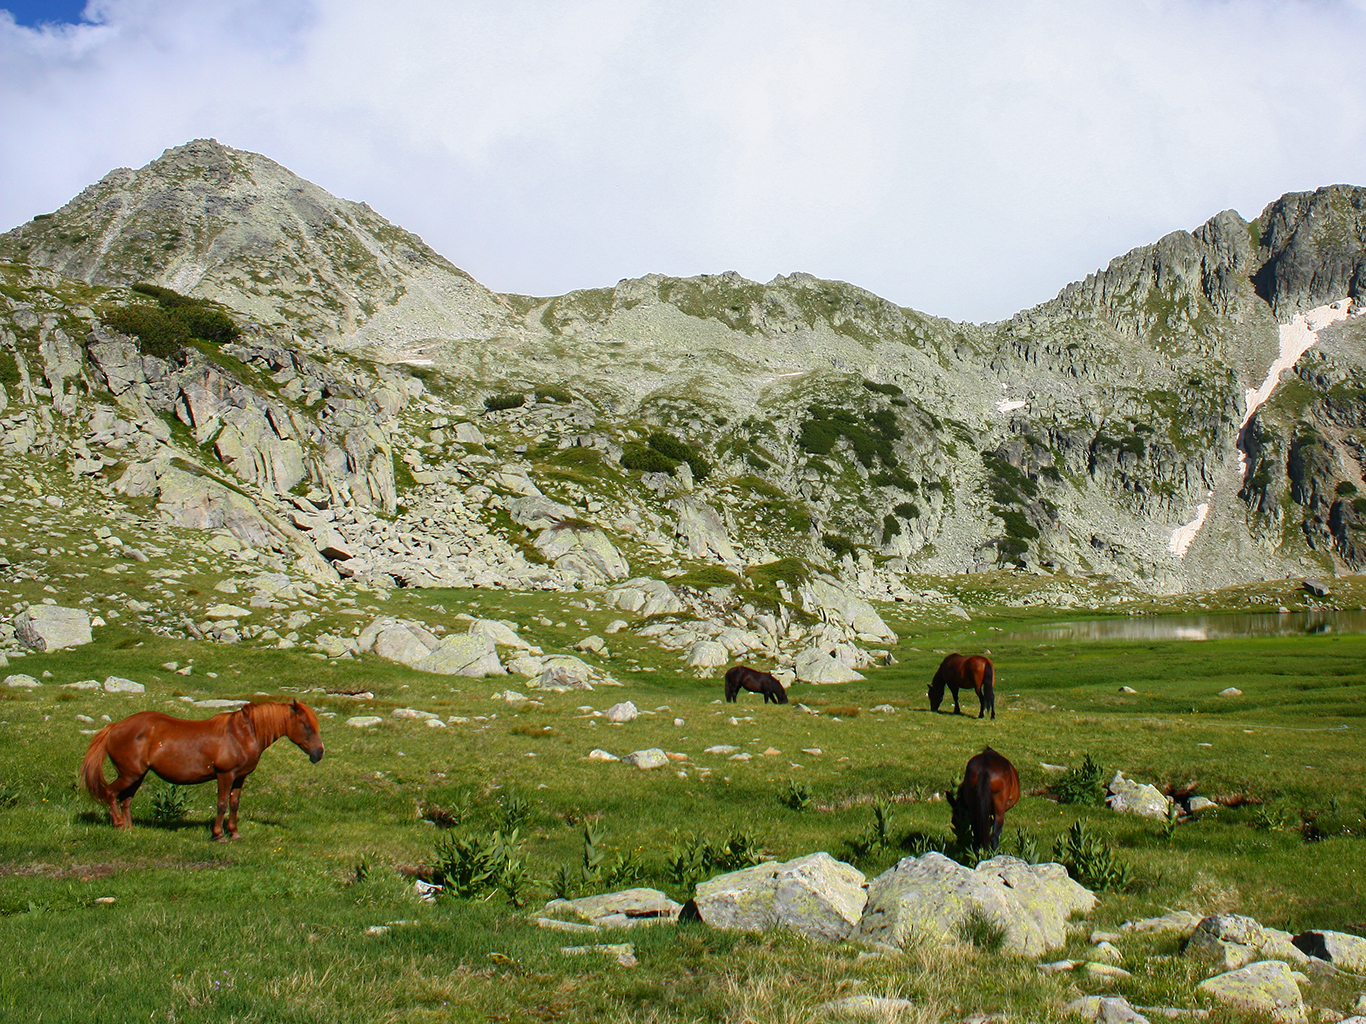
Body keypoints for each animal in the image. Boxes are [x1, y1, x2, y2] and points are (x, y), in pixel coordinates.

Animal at [81, 704, 322, 846]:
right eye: (306, 726)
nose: (319, 753)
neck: (242, 734)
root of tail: (114, 727)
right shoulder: (225, 775)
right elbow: (222, 804)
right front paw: (219, 835)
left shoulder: (239, 778)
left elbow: (234, 804)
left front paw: (234, 833)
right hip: (129, 775)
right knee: (111, 793)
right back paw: (119, 825)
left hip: (136, 776)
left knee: (126, 799)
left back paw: (129, 828)